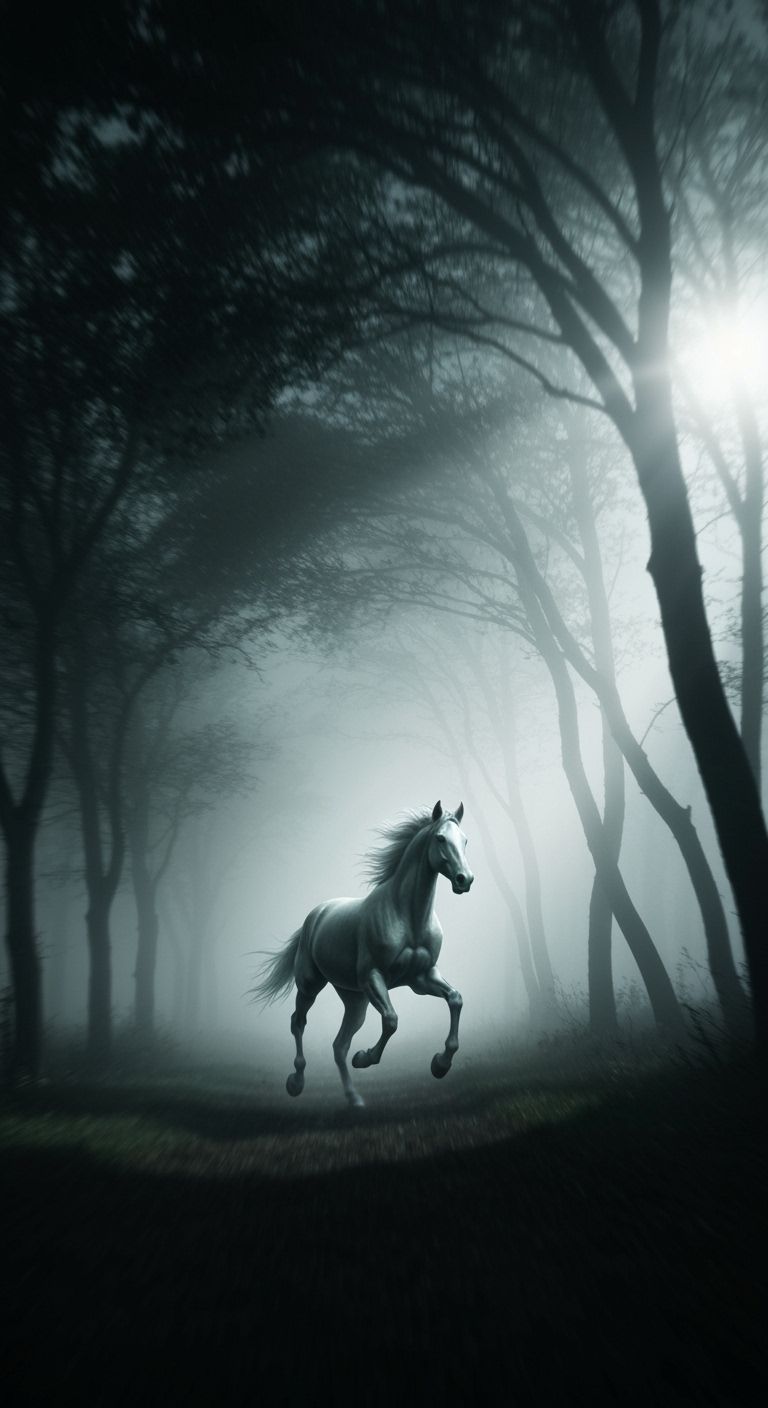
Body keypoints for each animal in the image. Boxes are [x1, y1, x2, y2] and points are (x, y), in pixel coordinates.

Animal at [252, 800, 474, 1107]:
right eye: (441, 838)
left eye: (464, 840)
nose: (465, 880)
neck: (408, 917)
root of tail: (316, 914)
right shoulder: (373, 977)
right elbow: (391, 1021)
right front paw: (364, 1057)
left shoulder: (422, 978)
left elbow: (455, 999)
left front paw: (440, 1064)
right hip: (311, 984)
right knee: (298, 1022)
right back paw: (296, 1082)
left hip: (355, 999)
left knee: (339, 1045)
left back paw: (354, 1099)